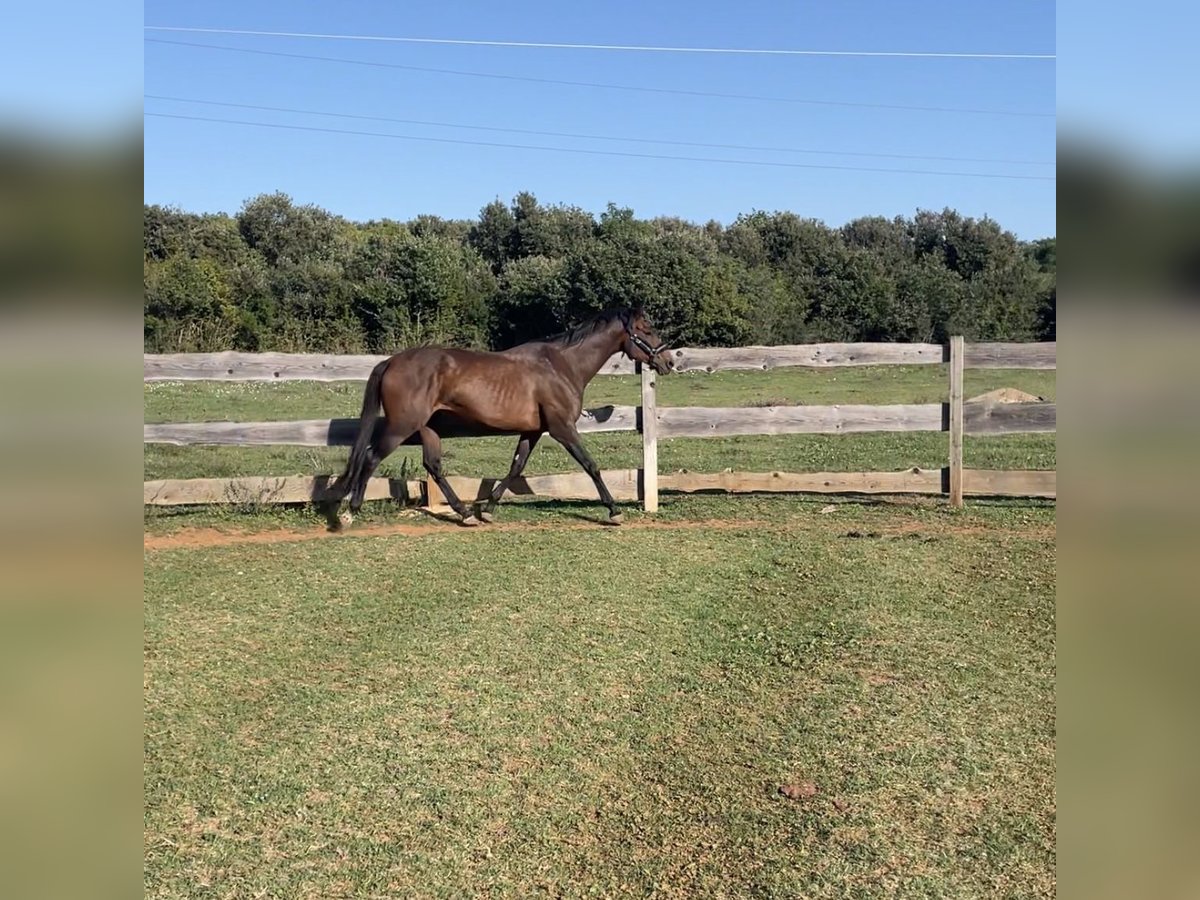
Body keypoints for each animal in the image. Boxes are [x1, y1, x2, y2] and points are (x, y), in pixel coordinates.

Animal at [328, 306, 673, 527]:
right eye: (647, 329)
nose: (668, 361)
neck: (561, 366)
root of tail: (391, 361)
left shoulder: (533, 430)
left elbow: (515, 468)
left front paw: (488, 509)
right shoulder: (562, 428)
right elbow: (591, 465)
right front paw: (614, 511)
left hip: (427, 427)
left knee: (433, 466)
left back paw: (466, 514)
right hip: (402, 425)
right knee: (371, 457)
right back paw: (349, 512)